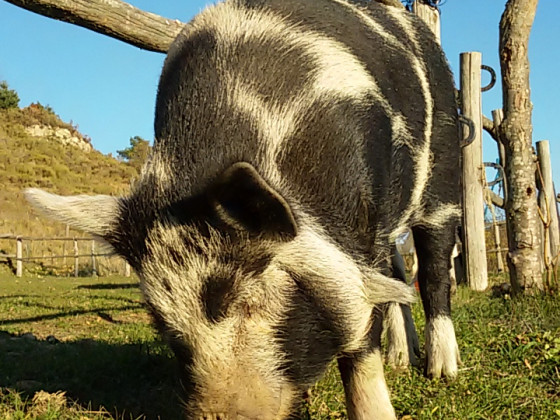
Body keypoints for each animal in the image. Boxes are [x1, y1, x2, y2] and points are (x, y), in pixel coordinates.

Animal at [25, 1, 460, 418]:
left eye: (247, 299)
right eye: (163, 321)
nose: (222, 413)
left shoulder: (360, 226)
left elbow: (360, 332)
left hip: (443, 171)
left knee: (433, 268)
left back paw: (442, 370)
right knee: (397, 273)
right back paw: (401, 359)